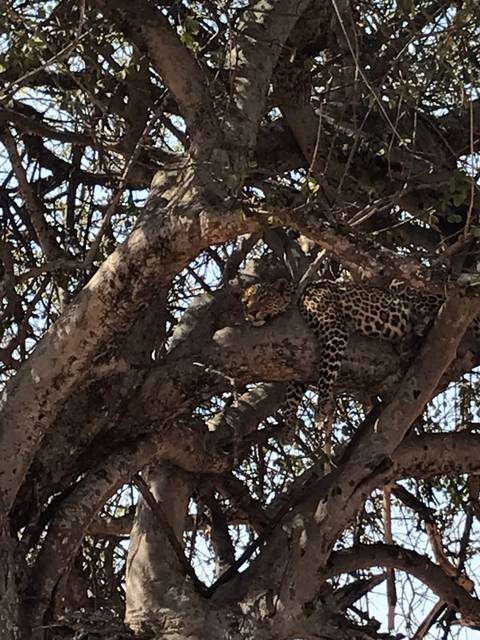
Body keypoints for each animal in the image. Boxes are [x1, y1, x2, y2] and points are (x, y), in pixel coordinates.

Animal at [241, 277, 480, 440]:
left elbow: (326, 370)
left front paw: (322, 407)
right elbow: (291, 393)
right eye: (245, 302)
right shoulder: (299, 362)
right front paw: (289, 425)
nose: (250, 313)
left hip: (402, 285)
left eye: (263, 297)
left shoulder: (333, 329)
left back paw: (420, 326)